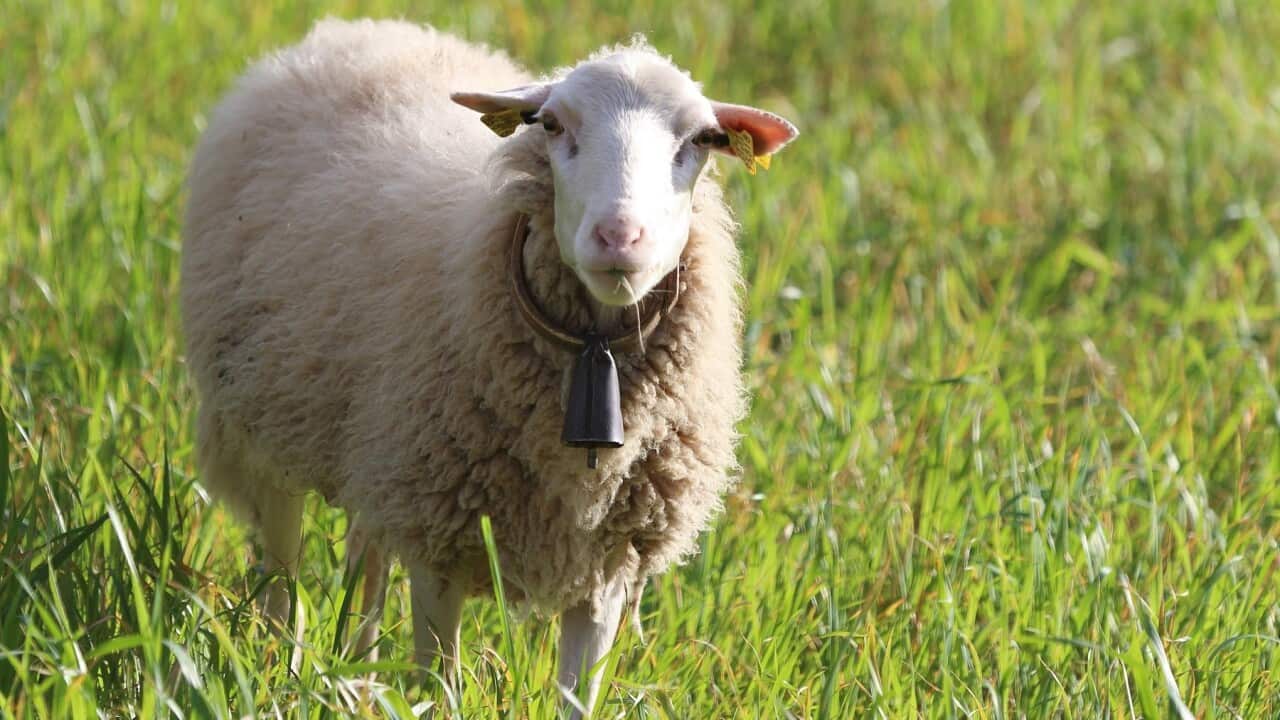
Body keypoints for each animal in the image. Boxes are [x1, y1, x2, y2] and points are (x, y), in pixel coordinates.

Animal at [181, 18, 797, 715]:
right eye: (552, 125)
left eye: (701, 141)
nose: (619, 238)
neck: (592, 354)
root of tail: (352, 29)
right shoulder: (440, 536)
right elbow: (437, 684)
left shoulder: (605, 568)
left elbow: (577, 695)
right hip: (263, 427)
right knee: (281, 575)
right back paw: (282, 669)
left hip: (375, 444)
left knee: (366, 562)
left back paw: (356, 674)